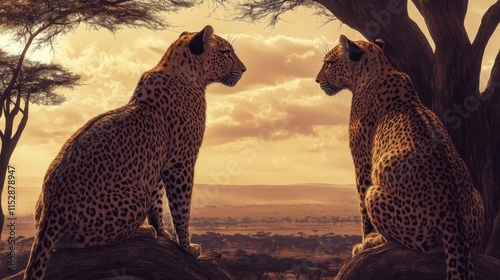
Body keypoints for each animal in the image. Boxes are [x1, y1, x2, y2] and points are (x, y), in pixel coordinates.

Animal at [24, 25, 247, 278]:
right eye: (226, 52)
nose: (244, 69)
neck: (186, 73)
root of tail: (50, 215)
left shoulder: (159, 163)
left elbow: (158, 201)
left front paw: (164, 233)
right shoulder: (180, 162)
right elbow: (181, 207)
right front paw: (187, 246)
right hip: (135, 194)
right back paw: (142, 230)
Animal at [316, 35, 484, 280]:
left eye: (328, 63)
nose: (317, 80)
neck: (378, 70)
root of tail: (453, 221)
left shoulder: (362, 162)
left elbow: (362, 208)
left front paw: (365, 241)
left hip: (376, 194)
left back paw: (377, 240)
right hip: (476, 198)